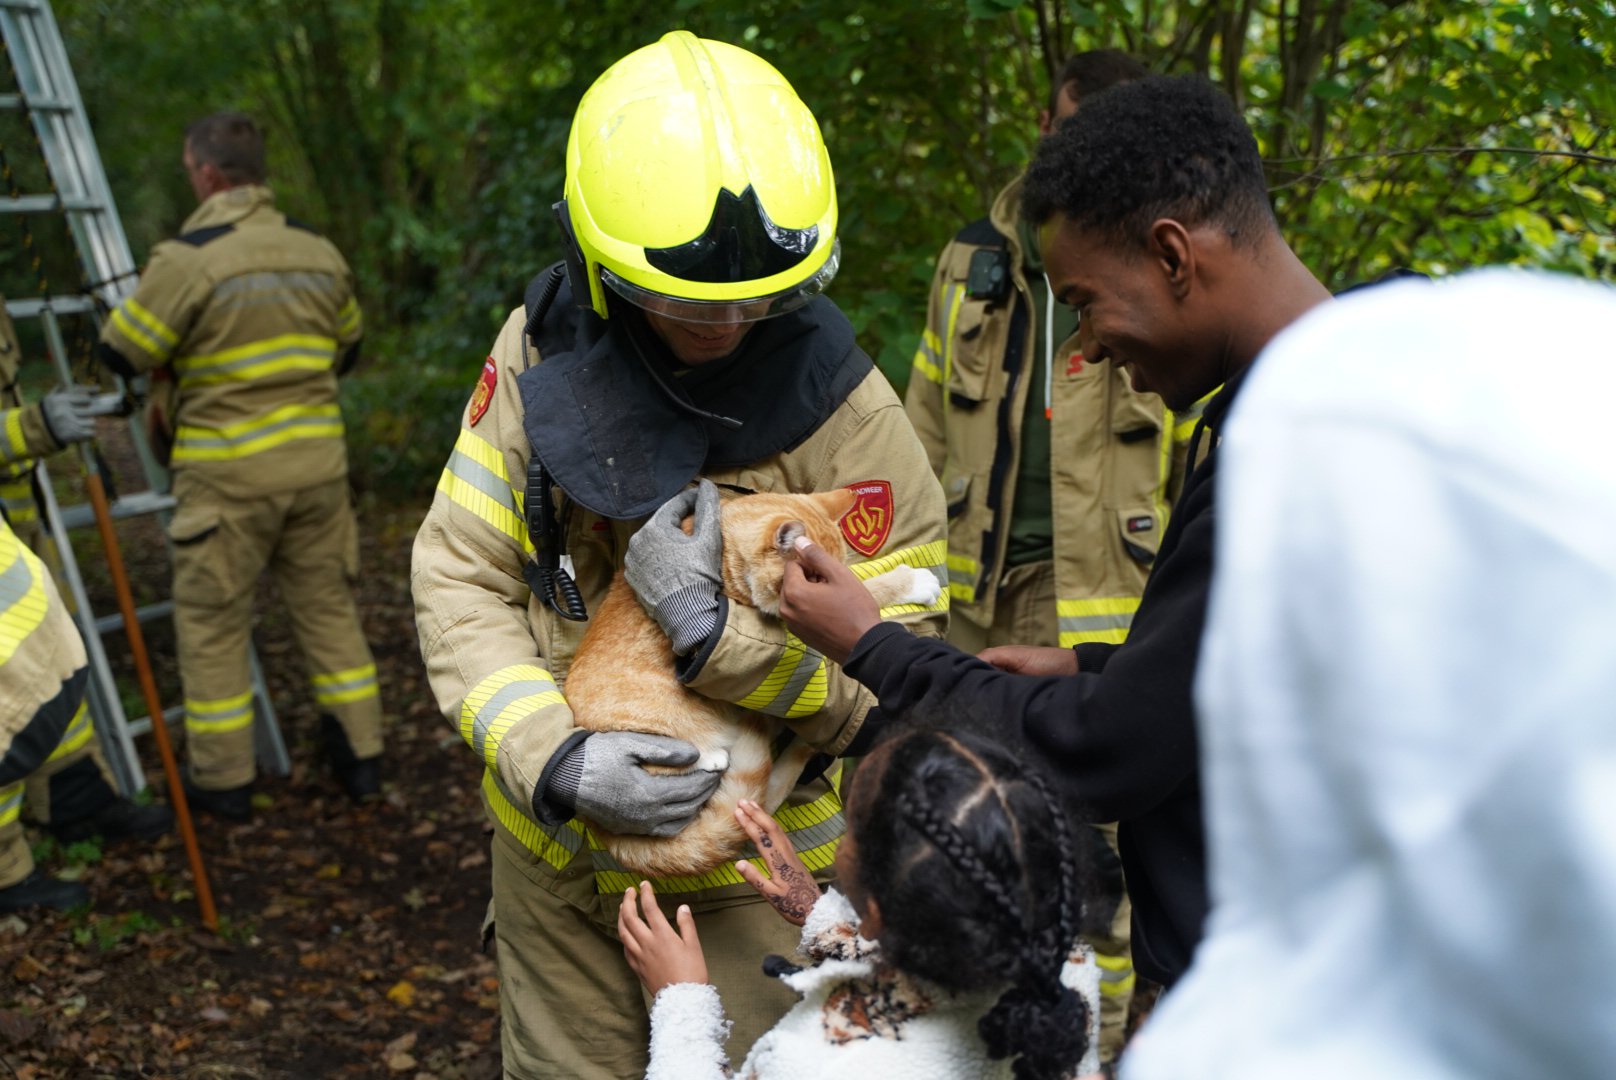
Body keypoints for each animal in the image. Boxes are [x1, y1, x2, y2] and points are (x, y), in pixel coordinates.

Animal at [572, 488, 943, 879]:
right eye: (813, 580)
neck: (727, 552)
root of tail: (594, 823)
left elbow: (858, 584)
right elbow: (867, 591)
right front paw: (912, 583)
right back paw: (711, 754)